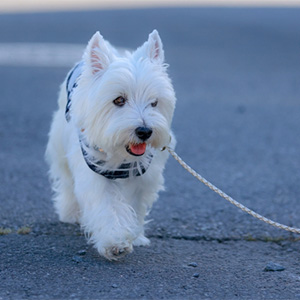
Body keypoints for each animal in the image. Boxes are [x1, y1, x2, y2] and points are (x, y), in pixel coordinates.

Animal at [45, 30, 176, 260]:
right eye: (119, 100)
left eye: (154, 102)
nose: (144, 131)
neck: (121, 155)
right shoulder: (94, 171)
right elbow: (107, 206)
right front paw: (115, 242)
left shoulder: (143, 177)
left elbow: (134, 204)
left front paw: (135, 235)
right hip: (60, 146)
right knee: (67, 182)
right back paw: (70, 213)